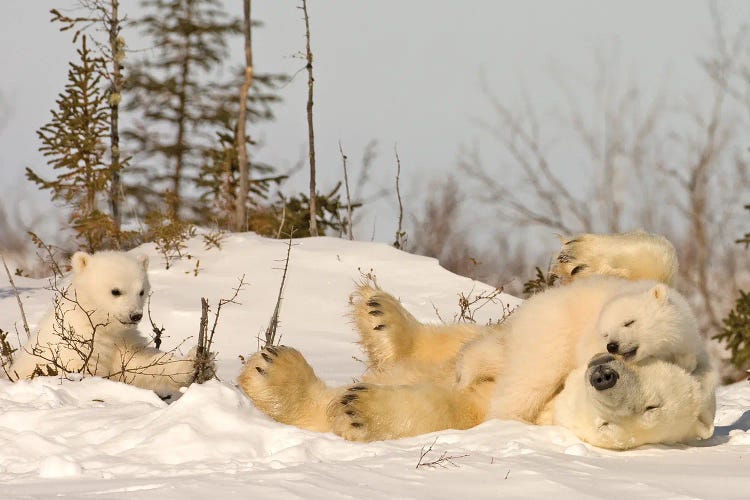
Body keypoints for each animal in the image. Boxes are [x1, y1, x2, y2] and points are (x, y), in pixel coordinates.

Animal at [9, 250, 203, 394]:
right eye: (115, 291)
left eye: (141, 291)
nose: (135, 315)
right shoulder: (73, 349)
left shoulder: (122, 340)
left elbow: (140, 364)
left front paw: (193, 358)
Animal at [239, 232, 716, 452]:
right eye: (646, 372)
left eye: (647, 410)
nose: (604, 375)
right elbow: (658, 264)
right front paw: (579, 255)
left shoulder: (516, 410)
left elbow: (454, 409)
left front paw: (361, 408)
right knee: (459, 338)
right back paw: (380, 317)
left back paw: (274, 372)